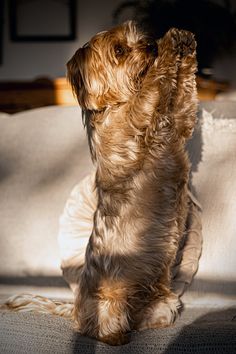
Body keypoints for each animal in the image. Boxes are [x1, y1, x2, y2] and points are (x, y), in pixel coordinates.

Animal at [66, 20, 197, 346]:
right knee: (96, 329)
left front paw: (184, 45)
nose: (151, 45)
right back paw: (115, 337)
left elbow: (184, 95)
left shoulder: (181, 123)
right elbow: (152, 86)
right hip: (107, 303)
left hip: (166, 302)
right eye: (119, 50)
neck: (115, 107)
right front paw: (168, 47)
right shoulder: (136, 124)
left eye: (139, 38)